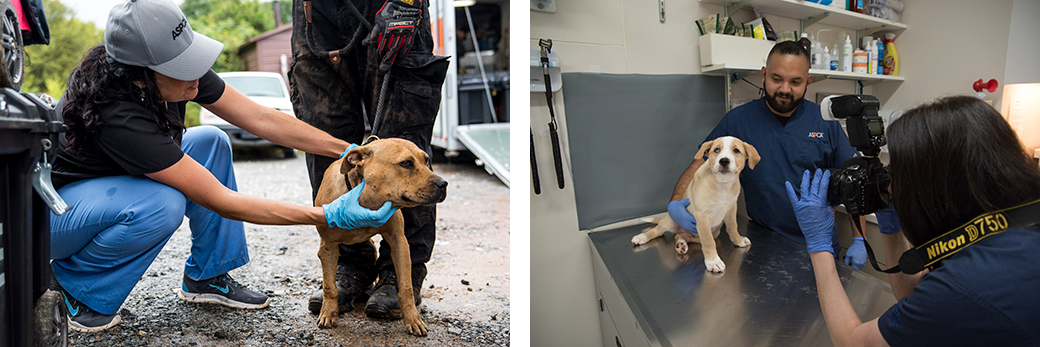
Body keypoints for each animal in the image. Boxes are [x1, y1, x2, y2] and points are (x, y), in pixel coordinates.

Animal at [314, 138, 449, 336]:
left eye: (426, 160)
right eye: (406, 163)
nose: (443, 184)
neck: (365, 200)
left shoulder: (399, 242)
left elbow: (406, 288)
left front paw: (413, 319)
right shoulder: (328, 247)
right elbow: (330, 287)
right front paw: (328, 313)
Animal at [628, 137, 761, 272]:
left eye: (736, 151)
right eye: (716, 150)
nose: (723, 161)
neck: (722, 184)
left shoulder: (731, 209)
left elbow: (733, 227)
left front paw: (738, 240)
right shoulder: (703, 216)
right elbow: (708, 241)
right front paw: (713, 261)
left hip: (703, 234)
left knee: (680, 235)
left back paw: (681, 243)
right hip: (669, 221)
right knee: (656, 231)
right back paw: (642, 237)